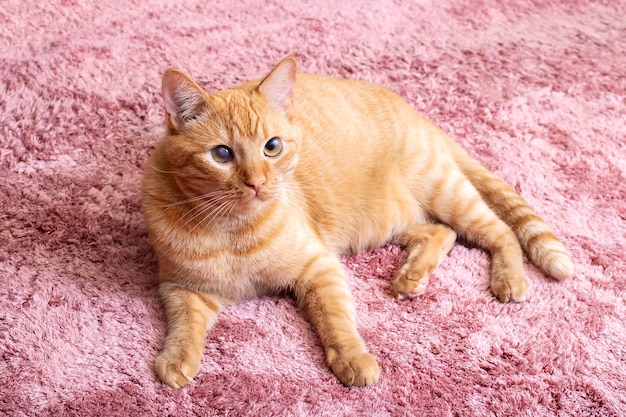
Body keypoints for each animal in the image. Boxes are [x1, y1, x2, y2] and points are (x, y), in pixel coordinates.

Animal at [141, 56, 572, 386]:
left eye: (272, 147)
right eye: (222, 154)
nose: (257, 183)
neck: (232, 230)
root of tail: (415, 113)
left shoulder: (319, 267)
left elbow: (336, 321)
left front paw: (352, 359)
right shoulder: (181, 287)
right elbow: (183, 325)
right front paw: (176, 359)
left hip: (445, 192)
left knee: (500, 231)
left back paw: (509, 278)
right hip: (388, 223)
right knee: (441, 231)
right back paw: (412, 276)